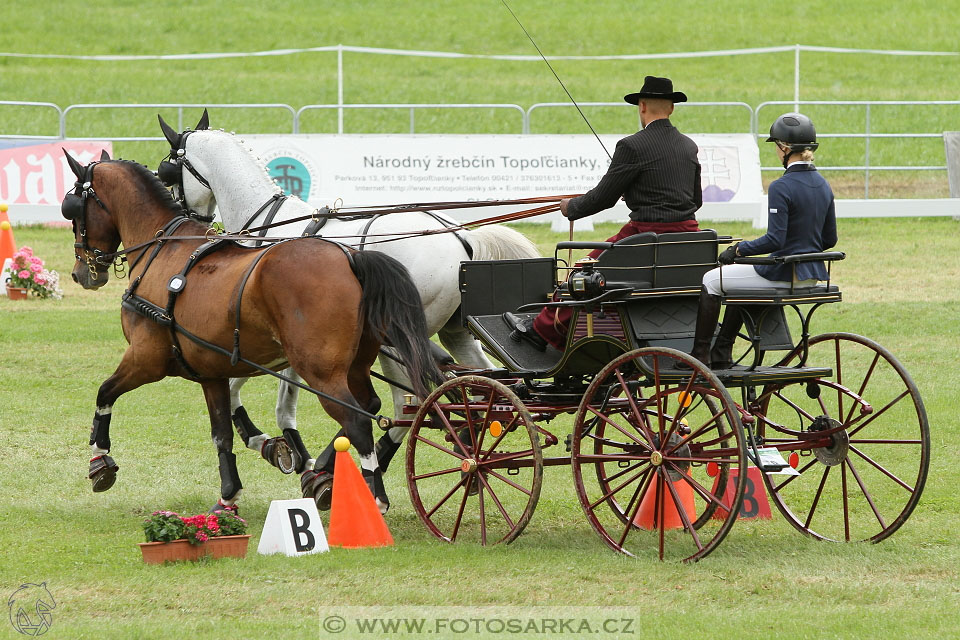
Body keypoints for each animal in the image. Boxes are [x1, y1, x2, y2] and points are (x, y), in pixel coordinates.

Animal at [63, 151, 442, 516]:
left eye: (74, 209)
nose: (82, 272)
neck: (162, 248)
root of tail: (350, 258)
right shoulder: (210, 373)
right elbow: (222, 436)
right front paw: (228, 497)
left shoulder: (146, 358)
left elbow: (105, 392)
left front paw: (99, 459)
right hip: (355, 367)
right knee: (372, 406)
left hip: (320, 372)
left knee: (359, 421)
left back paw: (370, 499)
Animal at [154, 112, 536, 508]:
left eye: (168, 171)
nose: (187, 221)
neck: (267, 221)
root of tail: (460, 237)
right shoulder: (289, 342)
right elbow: (284, 405)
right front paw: (292, 451)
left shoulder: (256, 338)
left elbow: (236, 390)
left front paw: (272, 446)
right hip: (454, 334)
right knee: (477, 389)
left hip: (398, 343)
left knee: (408, 404)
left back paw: (346, 471)